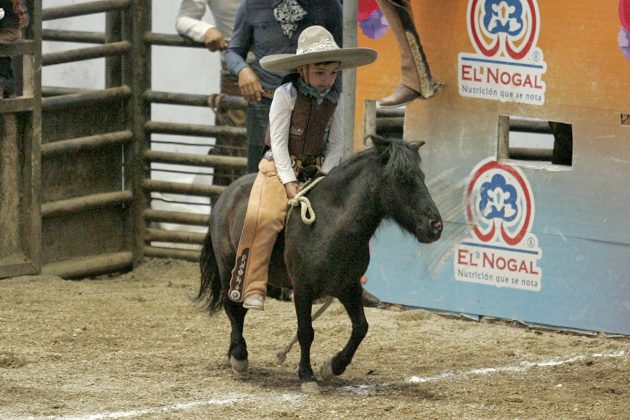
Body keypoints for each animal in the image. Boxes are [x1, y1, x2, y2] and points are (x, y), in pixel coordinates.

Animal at [199, 135, 444, 394]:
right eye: (404, 179)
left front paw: (332, 367)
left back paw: (233, 354)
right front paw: (307, 376)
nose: (436, 226)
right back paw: (239, 357)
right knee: (233, 307)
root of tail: (226, 194)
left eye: (422, 177)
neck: (330, 225)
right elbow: (306, 332)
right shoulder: (303, 290)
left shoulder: (348, 287)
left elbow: (361, 327)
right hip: (230, 267)